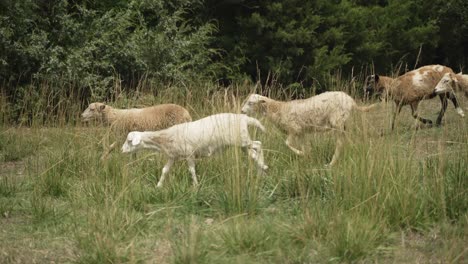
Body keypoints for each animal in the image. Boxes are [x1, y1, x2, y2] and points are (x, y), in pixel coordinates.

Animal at [119, 112, 266, 187]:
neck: (164, 138)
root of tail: (245, 118)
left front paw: (196, 186)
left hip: (242, 140)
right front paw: (158, 186)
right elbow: (165, 170)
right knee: (254, 153)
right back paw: (261, 172)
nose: (121, 150)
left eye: (129, 141)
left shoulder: (189, 154)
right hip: (242, 144)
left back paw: (263, 168)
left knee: (258, 145)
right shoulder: (172, 156)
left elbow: (191, 170)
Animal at [239, 89, 374, 166]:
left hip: (338, 122)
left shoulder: (294, 129)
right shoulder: (301, 132)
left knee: (340, 143)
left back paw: (331, 164)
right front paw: (307, 158)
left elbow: (287, 143)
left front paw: (301, 153)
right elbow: (305, 145)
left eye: (251, 103)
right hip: (345, 124)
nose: (242, 111)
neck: (278, 109)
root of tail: (351, 100)